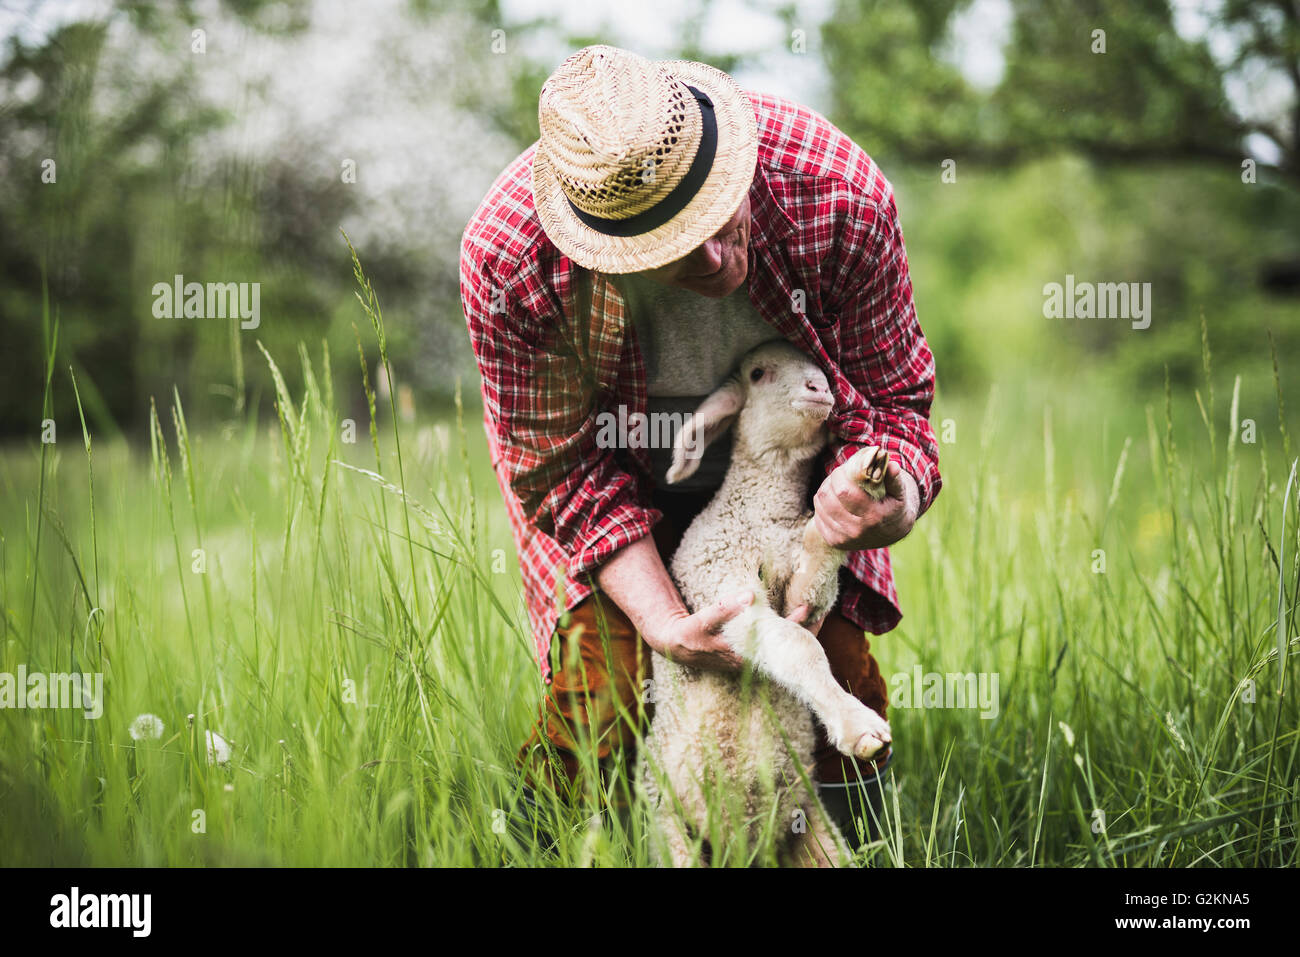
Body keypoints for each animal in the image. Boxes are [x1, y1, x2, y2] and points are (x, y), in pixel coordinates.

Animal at [637, 338, 894, 868]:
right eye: (758, 373)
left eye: (821, 366)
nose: (819, 388)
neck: (764, 513)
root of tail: (745, 851)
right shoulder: (719, 583)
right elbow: (798, 645)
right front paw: (860, 727)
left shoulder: (805, 590)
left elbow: (819, 552)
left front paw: (863, 478)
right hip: (671, 830)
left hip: (816, 833)